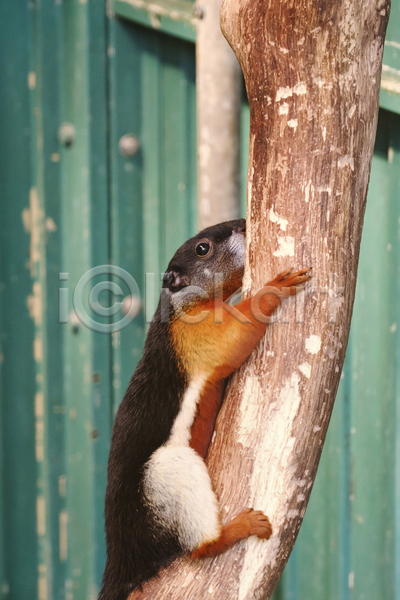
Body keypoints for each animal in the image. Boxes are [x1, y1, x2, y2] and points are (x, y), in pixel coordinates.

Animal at [98, 219, 310, 600]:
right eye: (203, 249)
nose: (242, 223)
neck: (182, 303)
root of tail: (123, 563)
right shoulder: (195, 334)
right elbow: (233, 337)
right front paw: (275, 286)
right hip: (166, 474)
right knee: (200, 547)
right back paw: (233, 529)